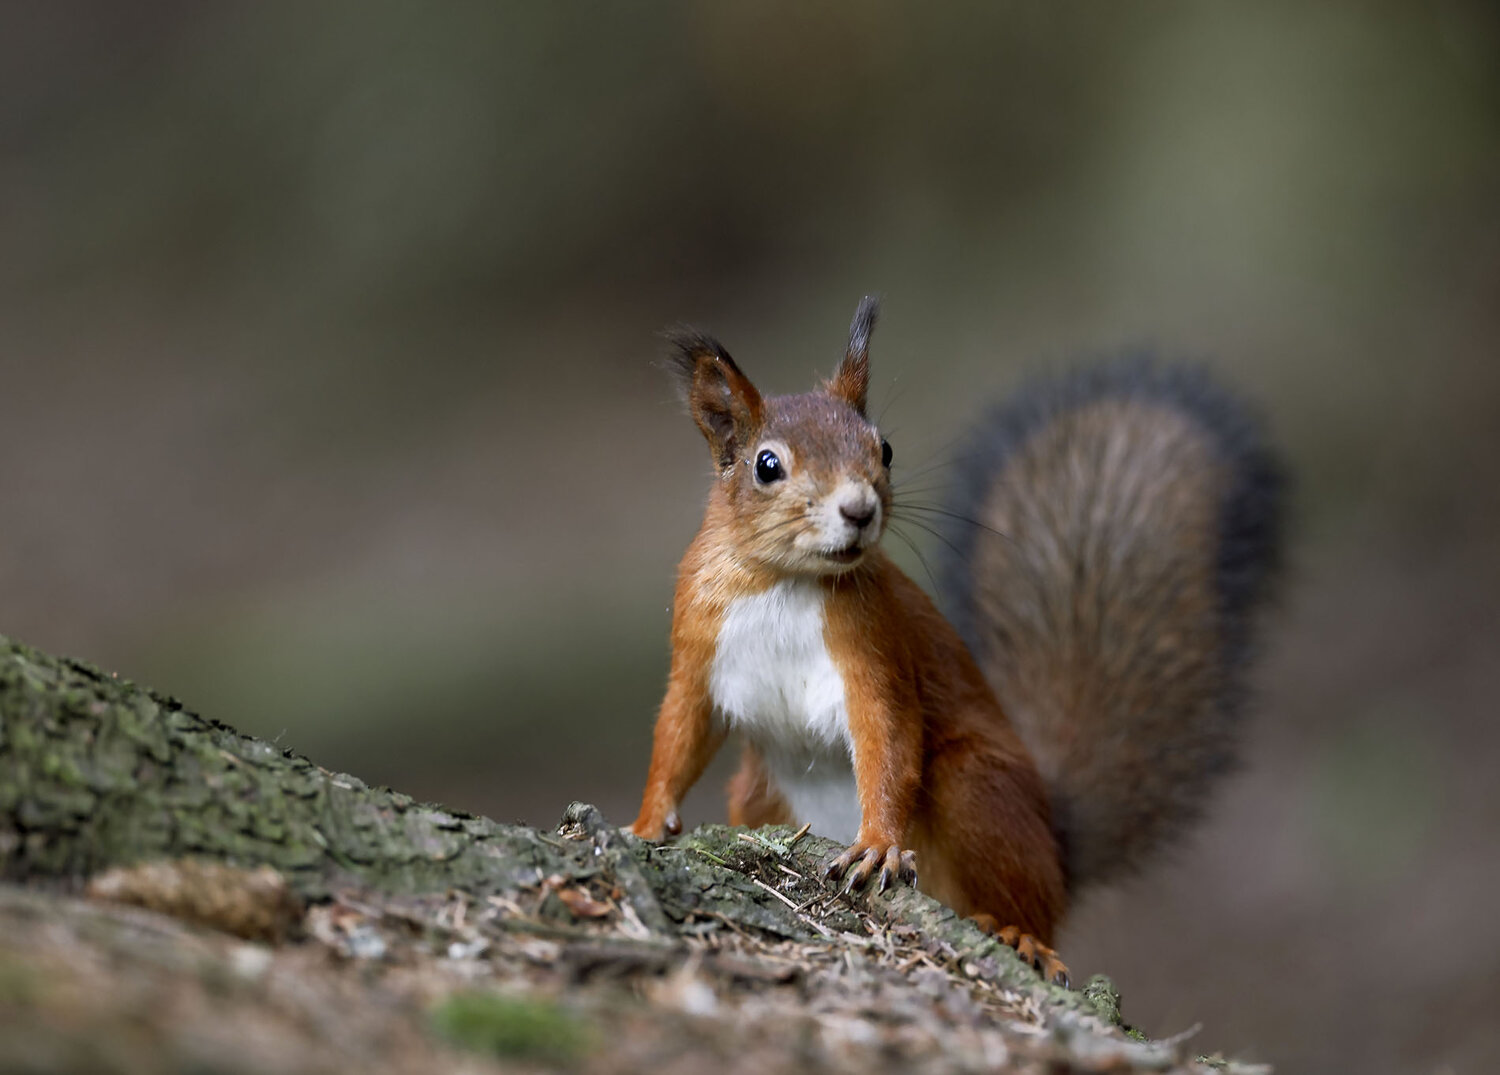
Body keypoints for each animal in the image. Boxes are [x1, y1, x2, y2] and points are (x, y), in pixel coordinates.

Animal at [629, 297, 1285, 986]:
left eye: (885, 449)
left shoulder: (876, 647)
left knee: (1021, 899)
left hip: (977, 789)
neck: (783, 580)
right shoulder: (697, 647)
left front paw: (879, 846)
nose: (859, 509)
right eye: (767, 465)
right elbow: (678, 734)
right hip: (758, 796)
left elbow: (889, 737)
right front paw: (645, 824)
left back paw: (1019, 933)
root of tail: (1058, 848)